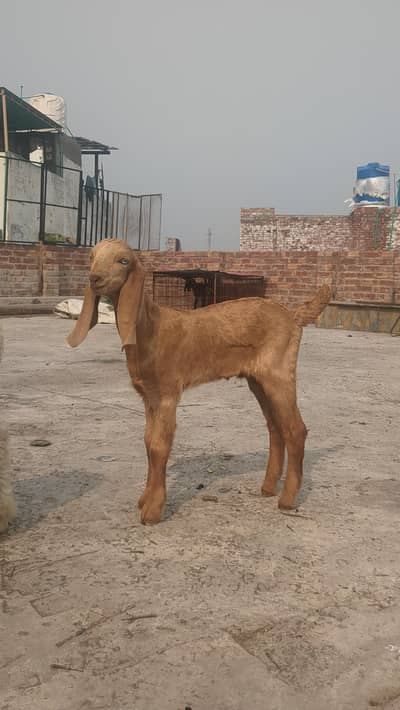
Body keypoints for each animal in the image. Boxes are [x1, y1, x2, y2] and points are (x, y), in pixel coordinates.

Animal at [67, 239, 331, 525]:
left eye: (123, 260)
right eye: (92, 256)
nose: (94, 278)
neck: (151, 329)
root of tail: (293, 316)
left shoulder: (168, 394)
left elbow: (159, 446)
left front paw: (153, 511)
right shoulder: (149, 397)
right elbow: (148, 442)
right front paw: (144, 500)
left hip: (279, 373)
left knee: (295, 429)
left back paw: (287, 499)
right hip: (258, 380)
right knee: (275, 427)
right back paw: (268, 488)